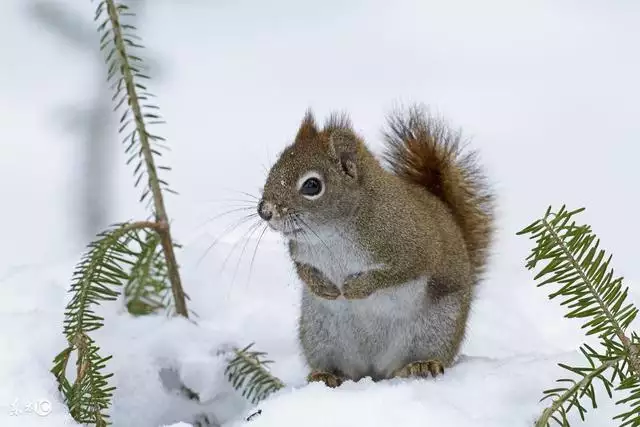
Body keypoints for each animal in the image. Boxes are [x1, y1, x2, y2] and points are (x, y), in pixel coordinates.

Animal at [255, 104, 496, 388]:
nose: (264, 211)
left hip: (436, 328)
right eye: (273, 169)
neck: (332, 233)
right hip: (320, 335)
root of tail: (375, 370)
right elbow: (303, 269)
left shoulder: (413, 248)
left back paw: (421, 365)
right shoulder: (301, 252)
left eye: (312, 185)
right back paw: (326, 374)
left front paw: (355, 288)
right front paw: (323, 287)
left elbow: (396, 273)